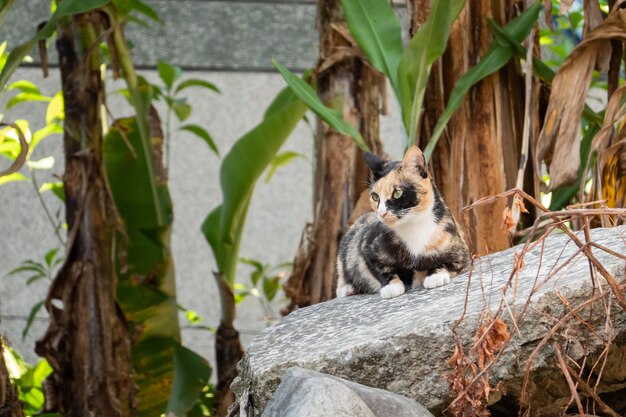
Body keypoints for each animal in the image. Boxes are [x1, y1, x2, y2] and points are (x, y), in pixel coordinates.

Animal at [334, 146, 466, 300]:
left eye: (397, 193)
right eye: (375, 196)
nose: (381, 213)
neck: (414, 226)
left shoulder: (460, 250)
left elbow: (446, 263)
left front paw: (435, 276)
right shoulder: (368, 247)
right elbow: (381, 269)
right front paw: (392, 287)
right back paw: (347, 289)